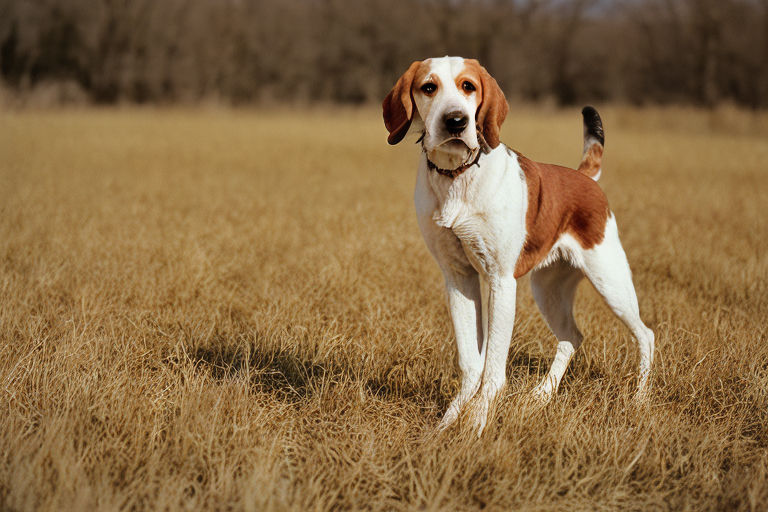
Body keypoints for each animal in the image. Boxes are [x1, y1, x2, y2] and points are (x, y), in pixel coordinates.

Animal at [380, 58, 652, 434]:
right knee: (571, 337)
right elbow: (471, 363)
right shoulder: (458, 278)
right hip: (547, 289)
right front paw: (448, 424)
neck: (458, 178)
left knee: (645, 335)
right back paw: (541, 396)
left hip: (610, 282)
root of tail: (584, 176)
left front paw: (476, 425)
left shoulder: (500, 281)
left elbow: (493, 368)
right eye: (428, 87)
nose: (456, 120)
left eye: (468, 86)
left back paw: (639, 399)